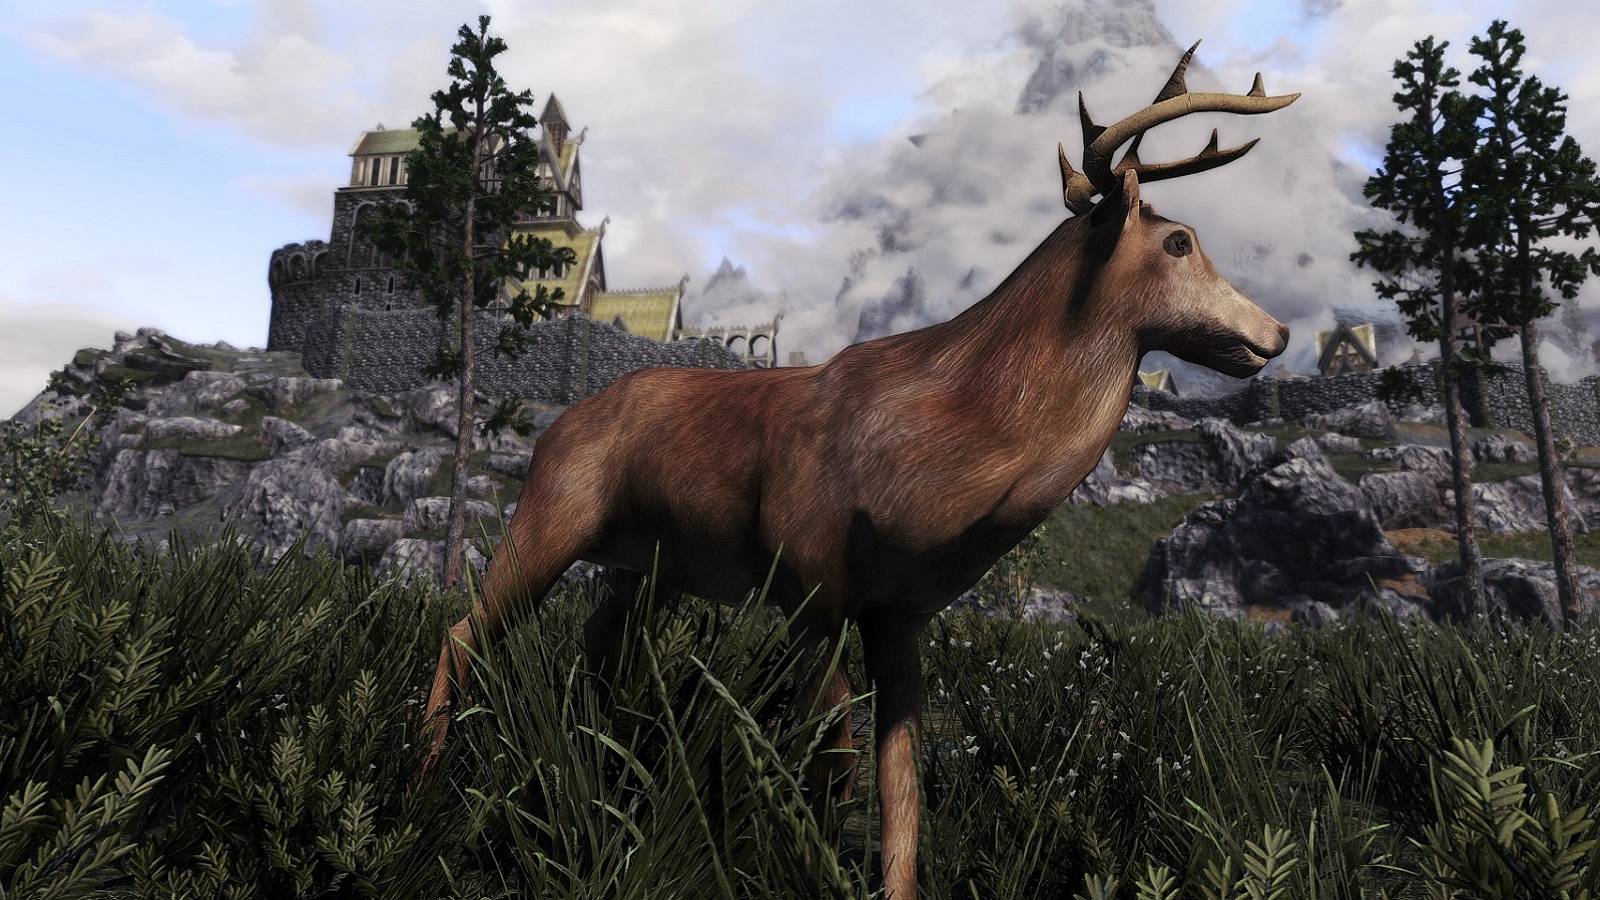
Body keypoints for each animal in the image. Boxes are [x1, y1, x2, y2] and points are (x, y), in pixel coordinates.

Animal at [418, 41, 1298, 898]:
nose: (1278, 331)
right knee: (464, 631)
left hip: (648, 568)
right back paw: (428, 785)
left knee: (599, 651)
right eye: (1178, 240)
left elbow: (901, 794)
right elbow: (832, 762)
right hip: (551, 517)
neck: (951, 447)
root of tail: (557, 427)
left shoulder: (900, 615)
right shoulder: (812, 587)